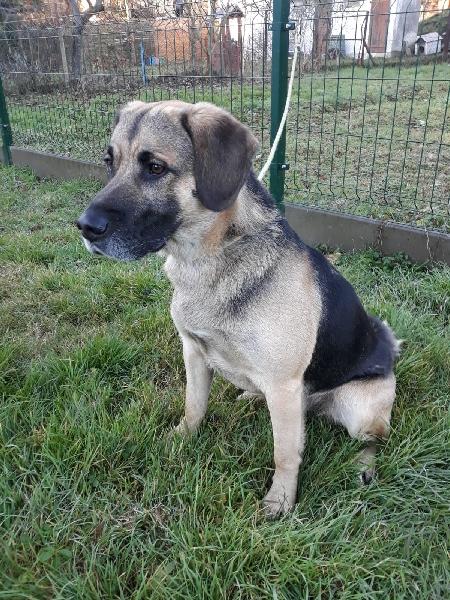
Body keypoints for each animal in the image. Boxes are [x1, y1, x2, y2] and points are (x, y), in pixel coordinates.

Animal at [77, 100, 399, 516]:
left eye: (155, 168)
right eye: (109, 162)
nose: (84, 226)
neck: (210, 259)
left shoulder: (283, 385)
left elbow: (285, 453)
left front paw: (281, 500)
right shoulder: (194, 353)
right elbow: (194, 407)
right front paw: (180, 440)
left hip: (359, 411)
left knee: (375, 439)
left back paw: (362, 465)